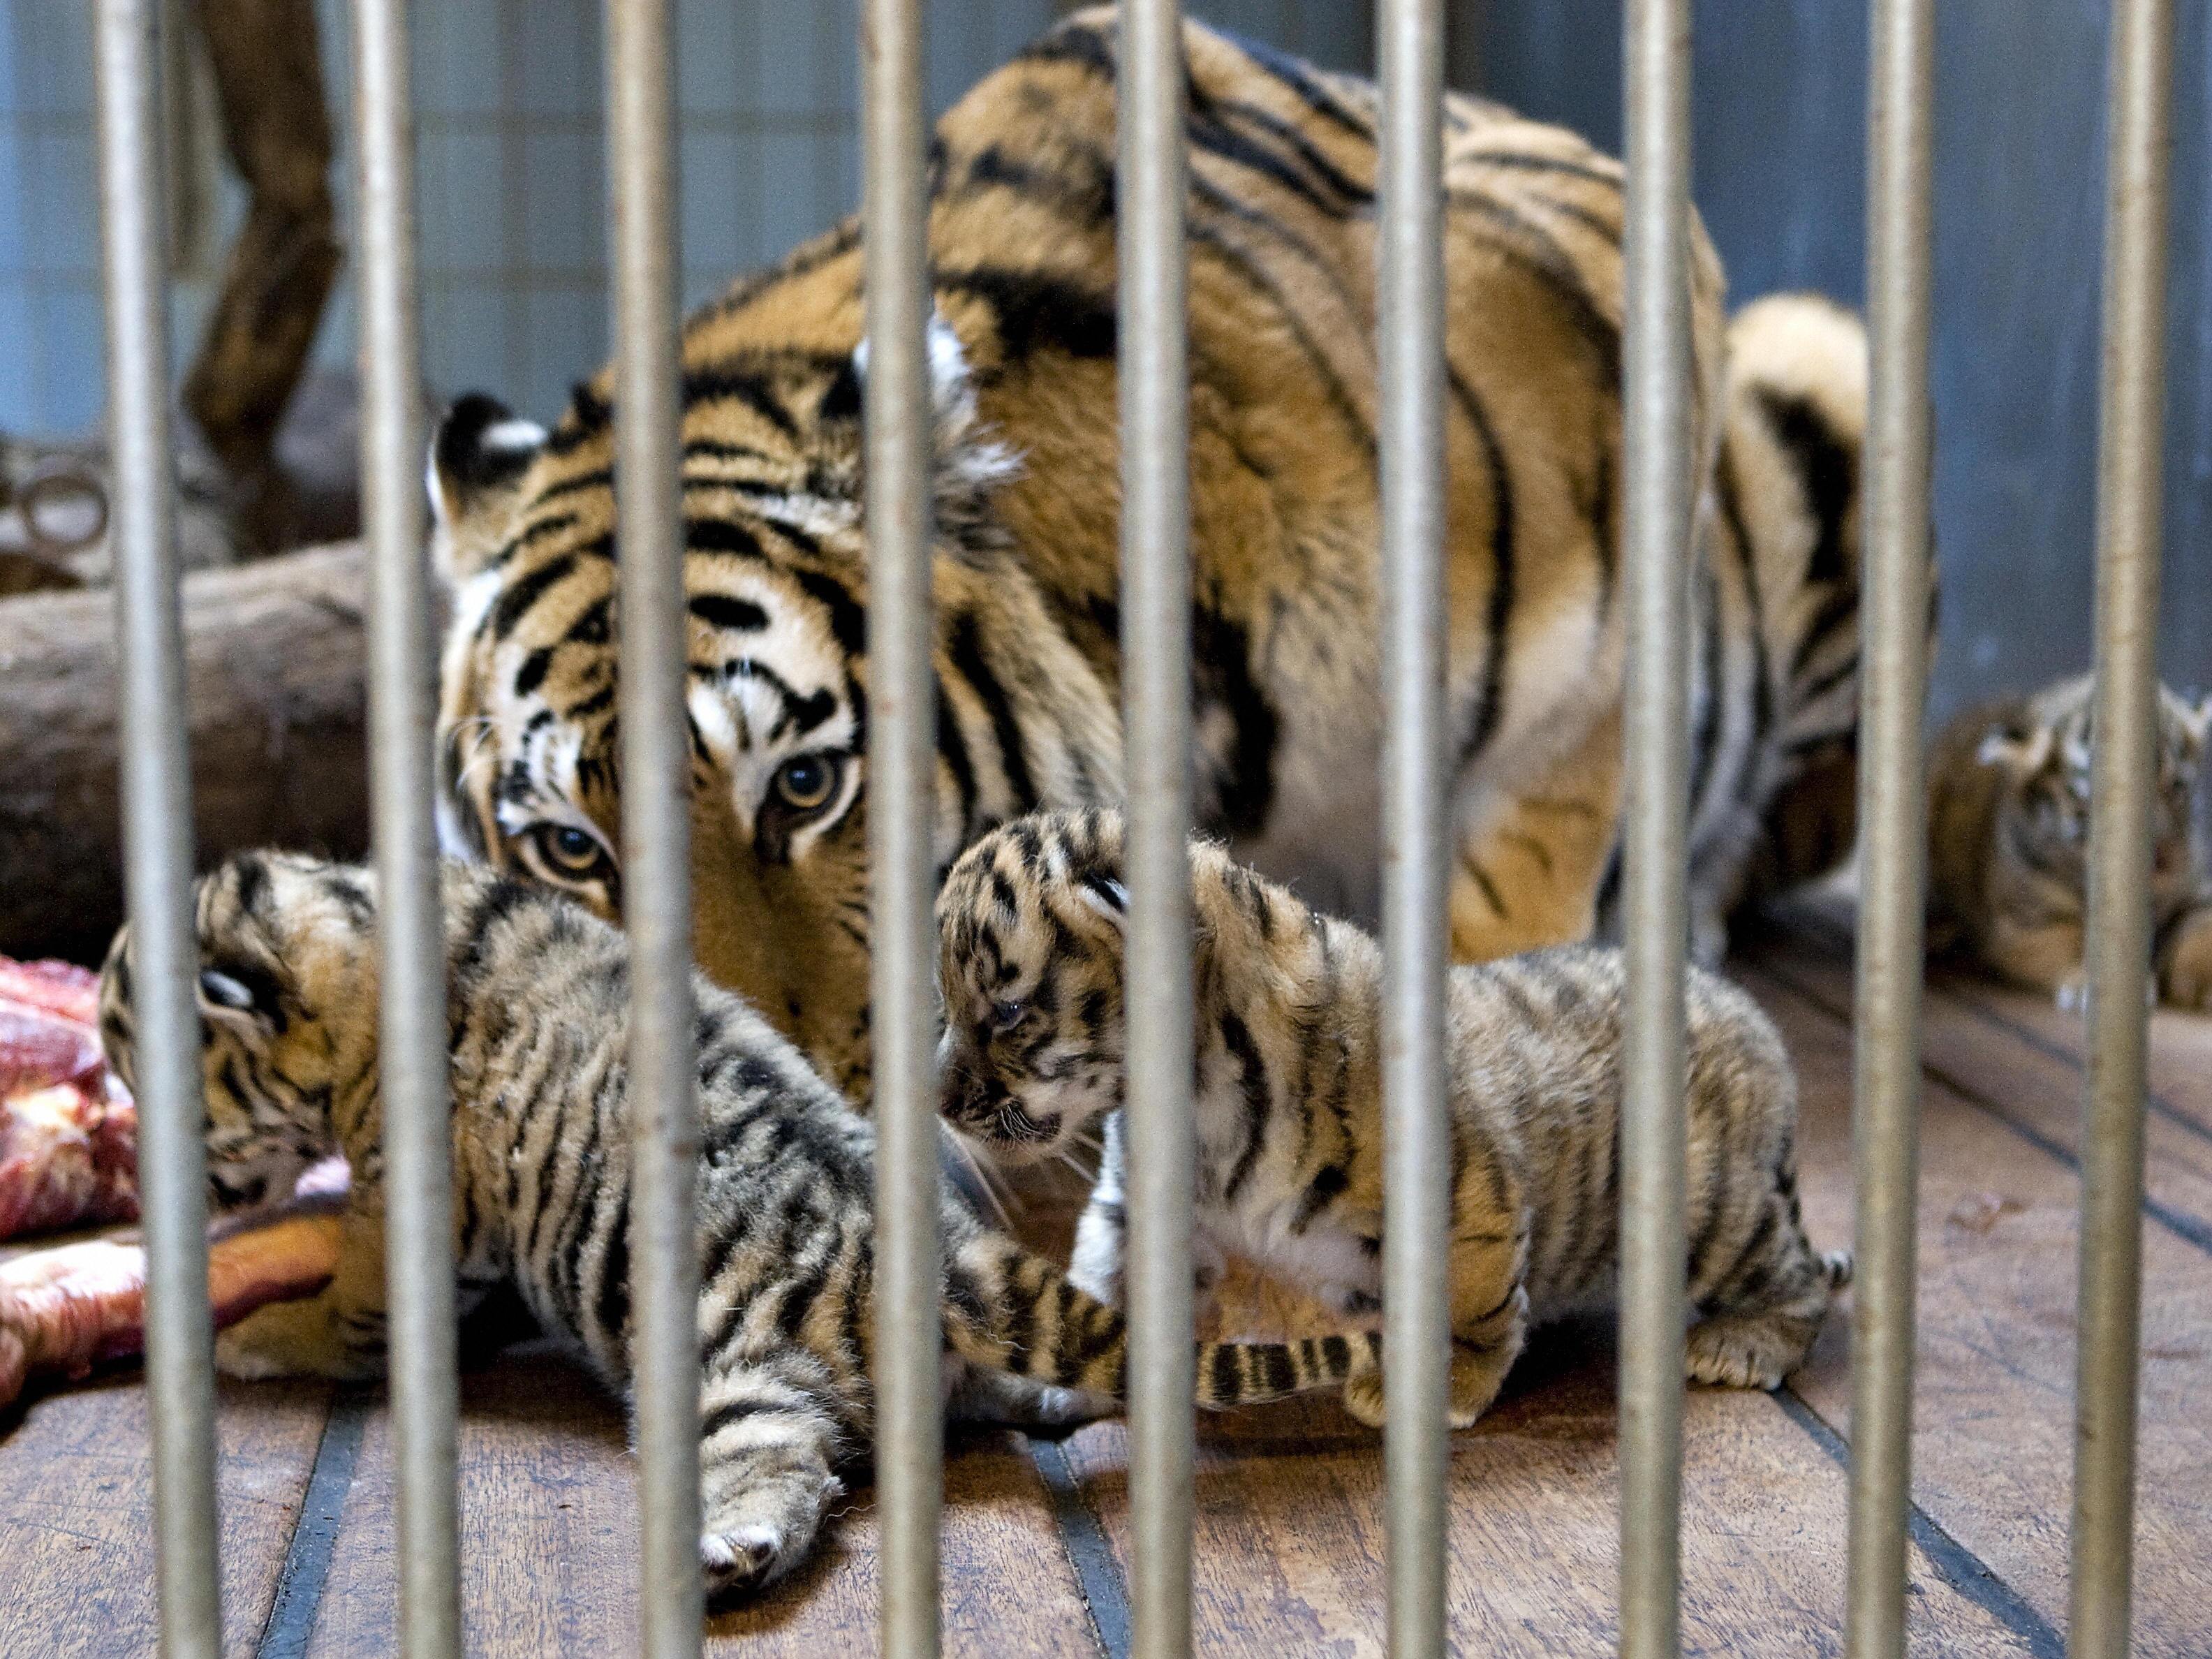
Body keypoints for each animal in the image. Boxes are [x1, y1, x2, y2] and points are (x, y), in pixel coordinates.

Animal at [95, 851, 1371, 1600]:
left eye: (143, 1065)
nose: (139, 1169)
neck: (356, 924)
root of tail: (952, 1257)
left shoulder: (401, 1210)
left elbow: (348, 1313)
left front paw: (251, 1337)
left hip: (737, 1365)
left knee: (784, 1462)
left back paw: (732, 1550)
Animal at [934, 809, 1852, 1427]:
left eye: (1008, 1014)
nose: (937, 1102)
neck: (1197, 1096)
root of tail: (1750, 1012)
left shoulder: (1468, 1195)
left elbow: (1474, 1306)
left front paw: (1440, 1390)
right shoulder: (1134, 1206)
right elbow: (1104, 1282)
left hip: (1715, 1214)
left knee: (1800, 1279)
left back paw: (1740, 1347)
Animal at [1928, 672, 2212, 1010]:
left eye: (2177, 788)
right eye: (2096, 801)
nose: (2165, 863)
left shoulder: (2196, 888)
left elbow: (2199, 926)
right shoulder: (2025, 924)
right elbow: (2074, 939)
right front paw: (2091, 982)